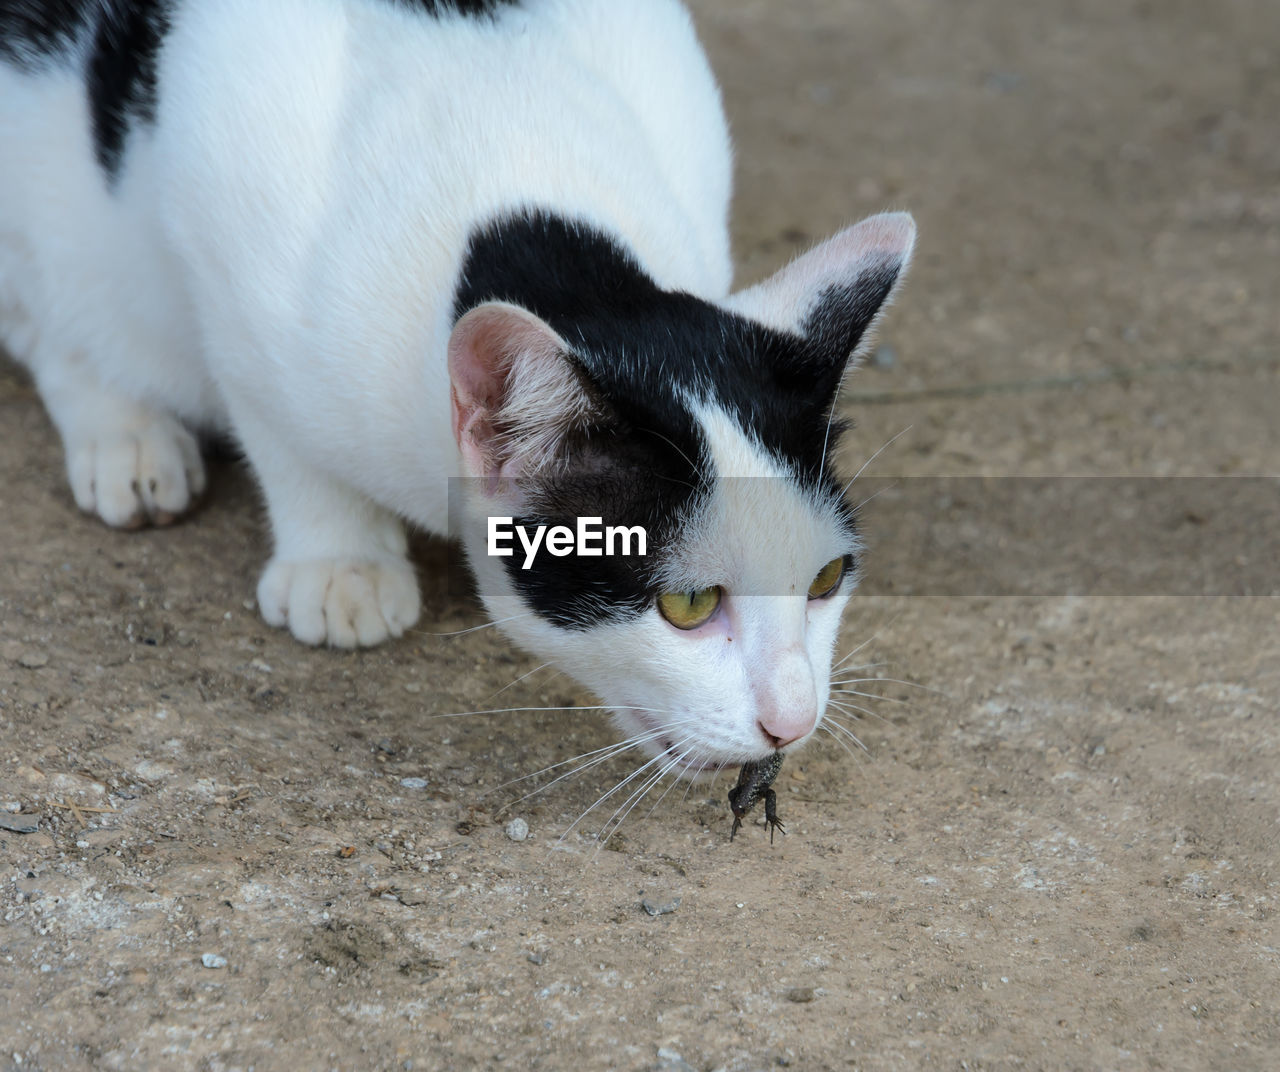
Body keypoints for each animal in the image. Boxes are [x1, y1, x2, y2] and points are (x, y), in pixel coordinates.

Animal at [5, 4, 916, 782]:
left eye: (828, 578)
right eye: (688, 605)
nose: (794, 722)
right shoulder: (222, 240)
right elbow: (273, 422)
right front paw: (339, 558)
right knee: (52, 312)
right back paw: (123, 434)